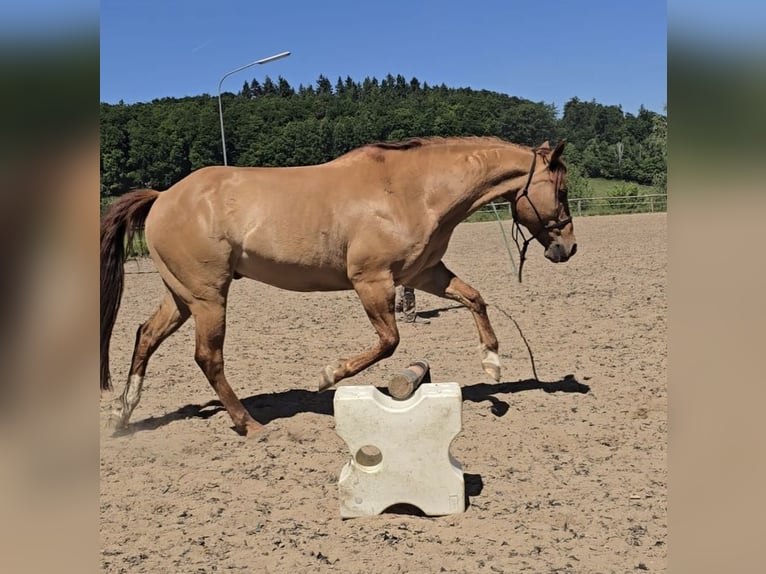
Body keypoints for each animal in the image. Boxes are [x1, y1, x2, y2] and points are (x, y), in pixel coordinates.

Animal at [100, 136, 577, 436]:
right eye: (561, 191)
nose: (568, 248)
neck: (413, 191)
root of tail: (163, 197)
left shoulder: (423, 274)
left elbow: (475, 298)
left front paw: (492, 364)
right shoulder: (372, 281)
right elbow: (389, 341)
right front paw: (329, 375)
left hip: (182, 296)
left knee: (146, 336)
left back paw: (124, 413)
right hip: (208, 297)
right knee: (207, 358)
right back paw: (248, 424)